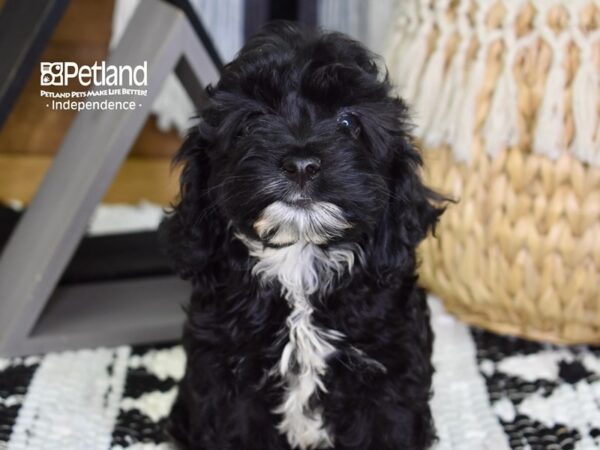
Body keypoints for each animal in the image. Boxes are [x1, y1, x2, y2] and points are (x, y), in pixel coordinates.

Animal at [162, 22, 442, 450]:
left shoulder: (387, 375)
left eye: (348, 123)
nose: (301, 164)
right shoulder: (227, 379)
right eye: (253, 121)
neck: (299, 258)